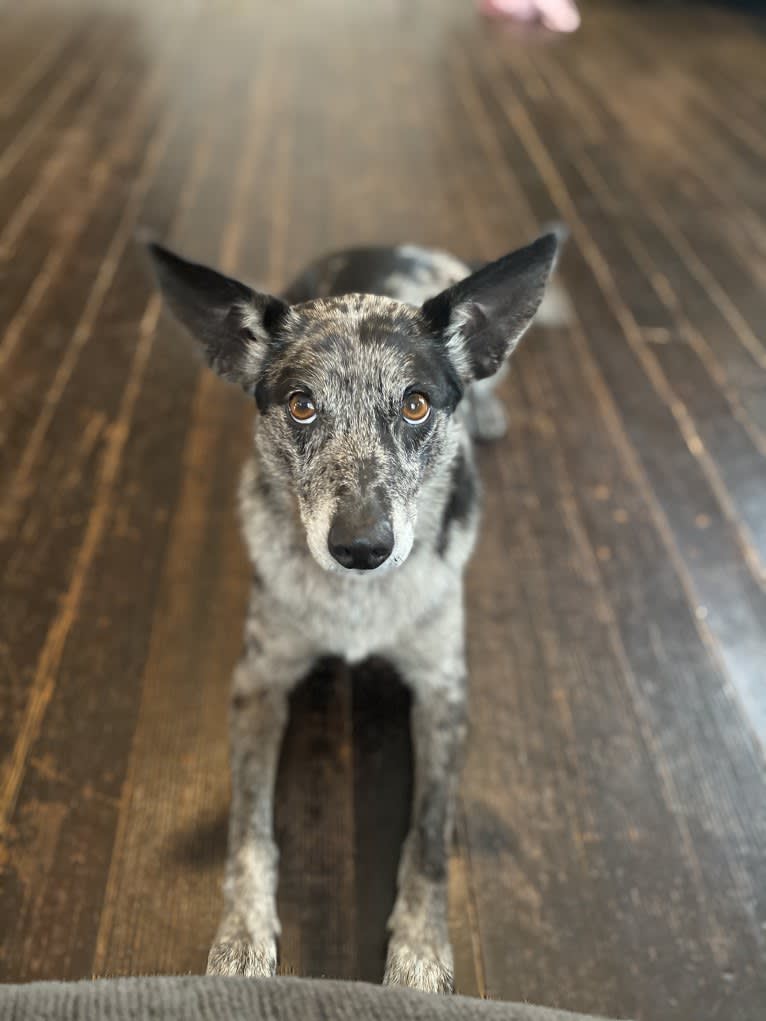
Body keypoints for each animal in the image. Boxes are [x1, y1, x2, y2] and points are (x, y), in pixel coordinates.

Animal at [145, 229, 563, 988]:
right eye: (301, 405)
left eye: (417, 405)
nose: (362, 546)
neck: (358, 603)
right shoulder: (257, 683)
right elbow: (248, 829)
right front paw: (240, 937)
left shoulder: (443, 692)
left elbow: (428, 839)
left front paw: (420, 953)